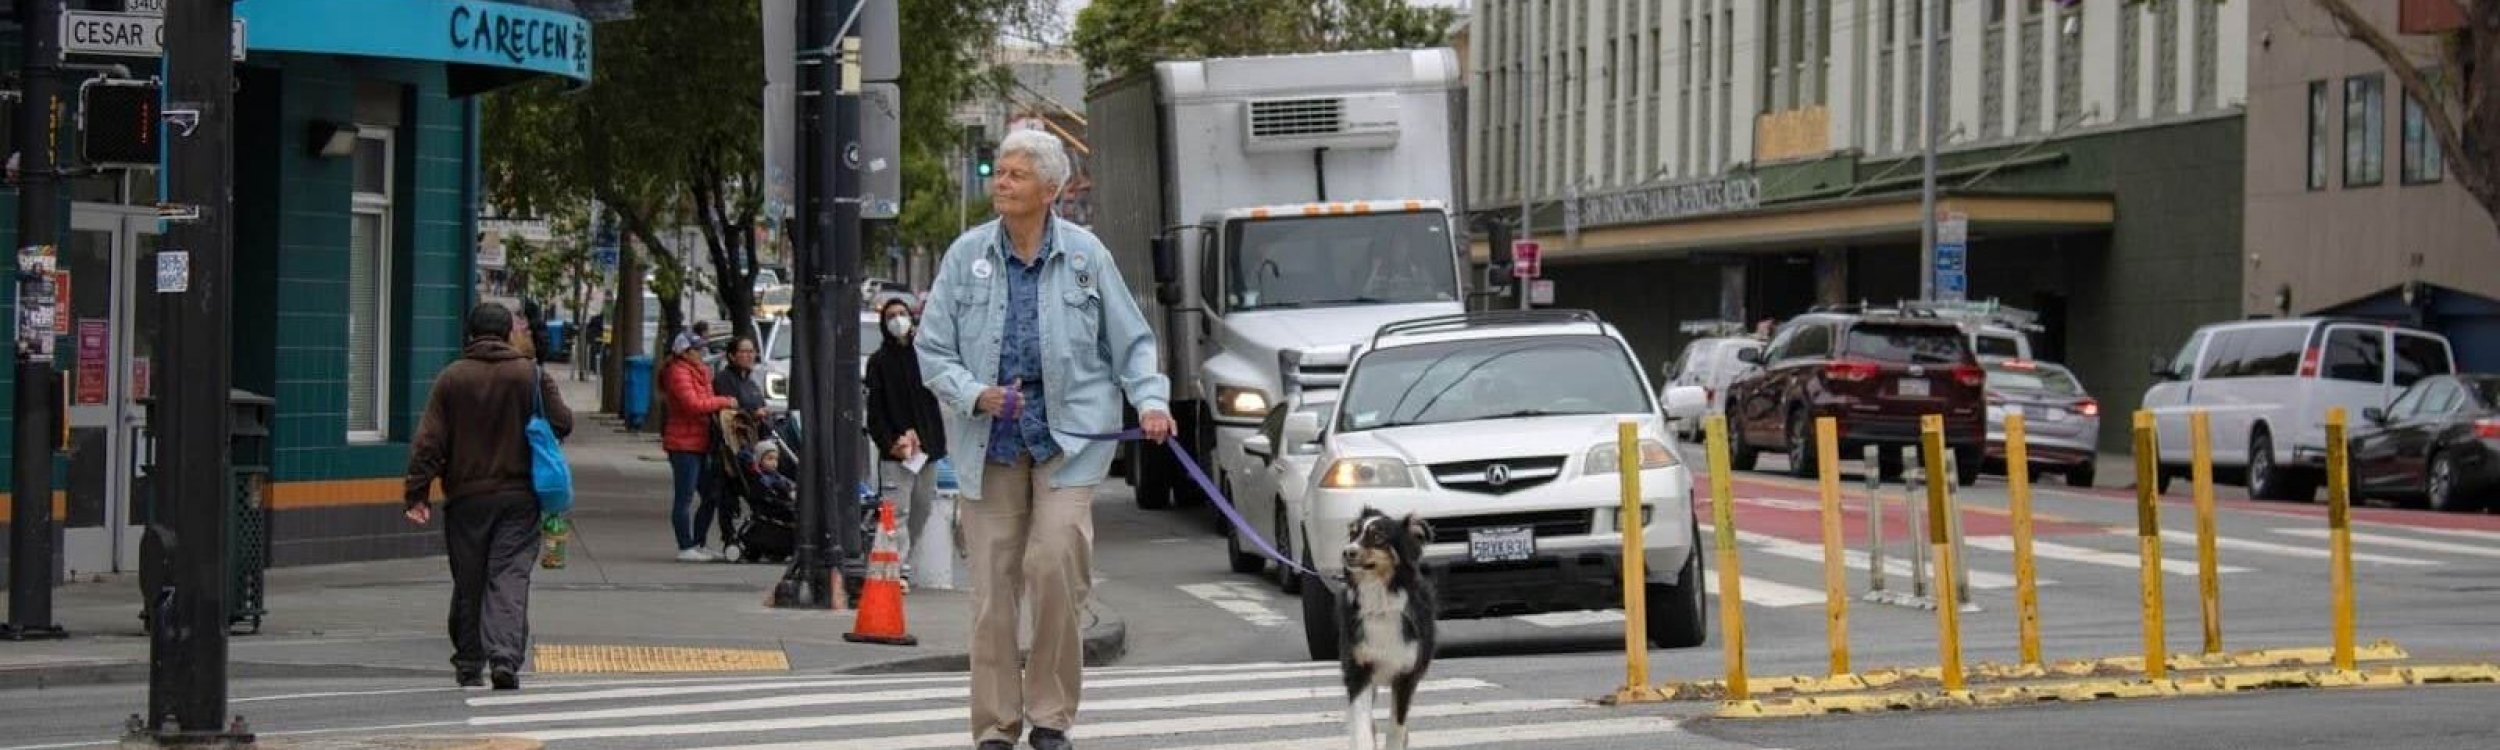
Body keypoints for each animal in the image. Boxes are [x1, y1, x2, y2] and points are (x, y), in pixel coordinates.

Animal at [1340, 510, 1440, 750]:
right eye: (1353, 534)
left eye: (1378, 537)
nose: (1347, 552)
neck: (1380, 603)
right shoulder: (1358, 669)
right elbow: (1362, 724)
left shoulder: (1406, 675)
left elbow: (1396, 725)